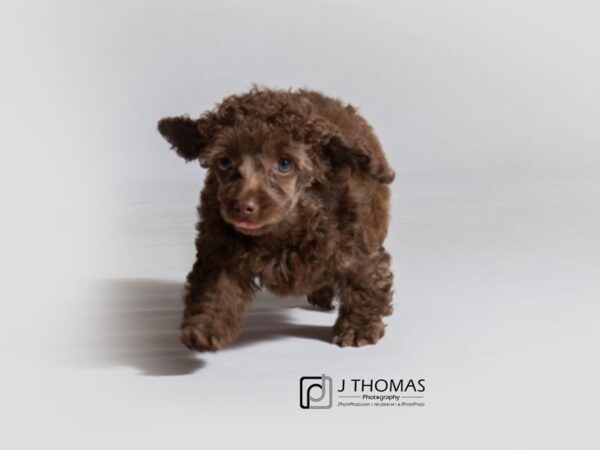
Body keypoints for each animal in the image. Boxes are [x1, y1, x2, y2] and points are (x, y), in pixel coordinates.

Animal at [157, 86, 396, 350]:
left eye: (284, 164)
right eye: (225, 162)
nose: (242, 206)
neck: (284, 227)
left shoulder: (357, 242)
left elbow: (364, 281)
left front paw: (357, 328)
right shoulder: (219, 248)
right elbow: (215, 288)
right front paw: (204, 327)